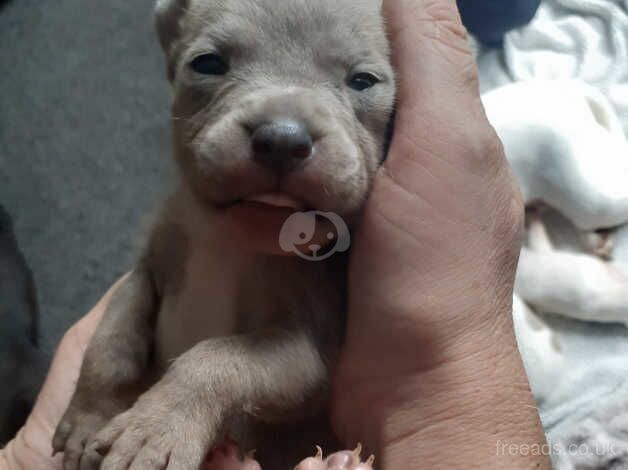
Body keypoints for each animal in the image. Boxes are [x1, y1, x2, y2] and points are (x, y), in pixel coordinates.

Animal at [55, 1, 398, 468]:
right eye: (208, 63)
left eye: (363, 80)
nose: (282, 139)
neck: (233, 238)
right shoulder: (147, 271)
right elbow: (110, 342)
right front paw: (88, 418)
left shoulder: (307, 353)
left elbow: (218, 356)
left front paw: (157, 428)